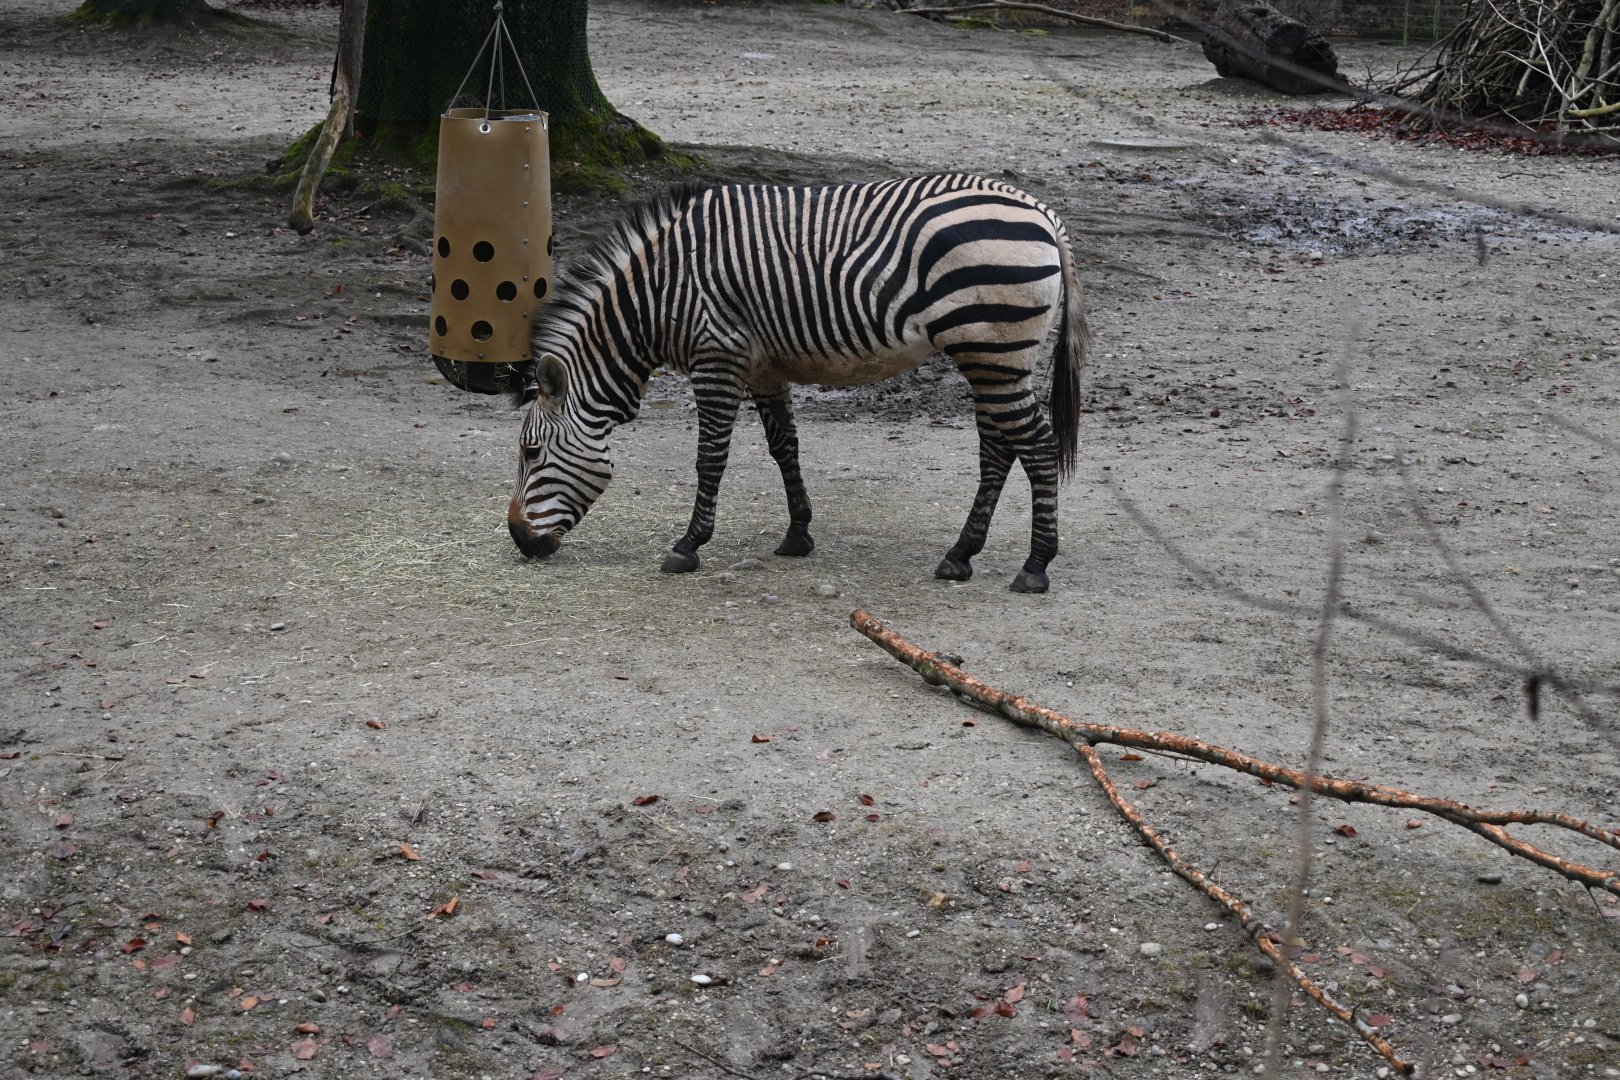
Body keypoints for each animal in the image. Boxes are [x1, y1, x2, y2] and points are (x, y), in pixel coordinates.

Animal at [506, 174, 1087, 593]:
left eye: (531, 453)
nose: (518, 539)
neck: (661, 291)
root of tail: (1041, 210)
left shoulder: (716, 355)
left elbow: (710, 458)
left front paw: (689, 544)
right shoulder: (764, 366)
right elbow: (784, 446)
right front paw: (798, 533)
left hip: (993, 350)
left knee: (1037, 446)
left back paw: (1035, 565)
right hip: (994, 356)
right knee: (999, 450)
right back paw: (960, 555)